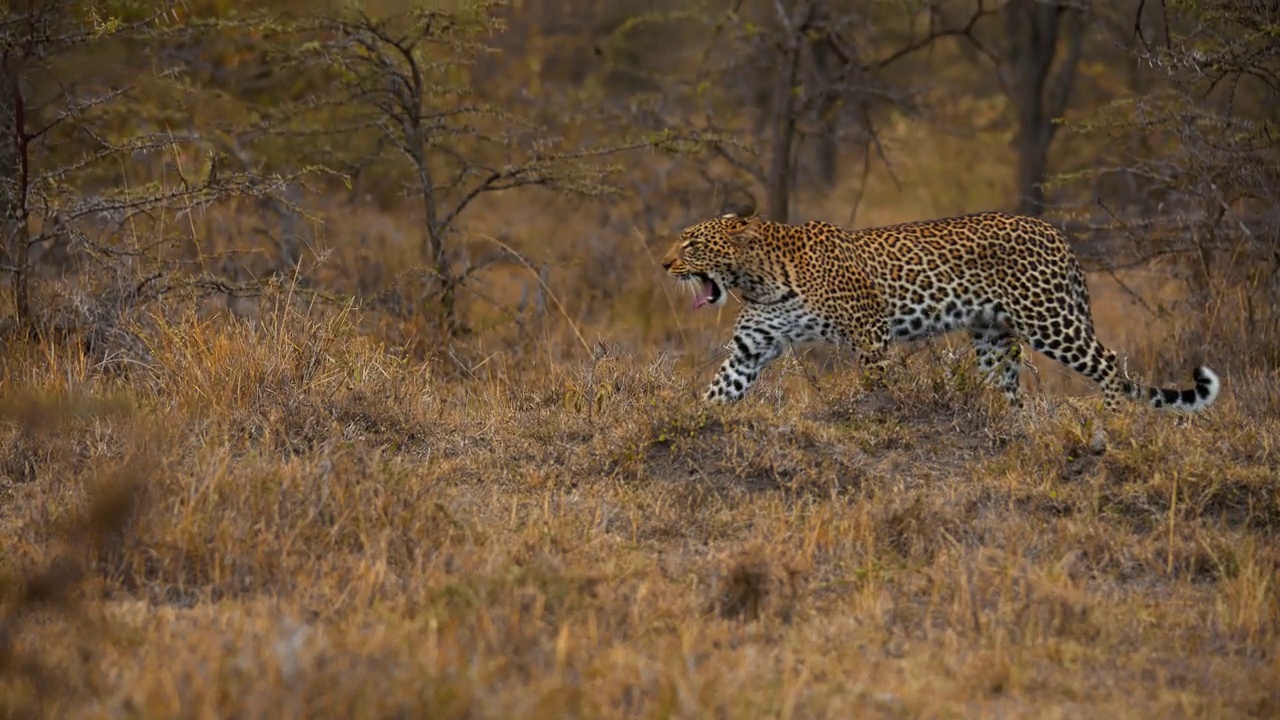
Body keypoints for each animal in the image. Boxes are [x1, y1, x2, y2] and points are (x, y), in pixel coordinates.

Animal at [660, 208, 1218, 409]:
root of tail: (1056, 232)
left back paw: (1110, 423)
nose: (664, 264)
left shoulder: (871, 332)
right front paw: (697, 420)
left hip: (1049, 319)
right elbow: (720, 388)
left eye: (692, 244)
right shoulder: (751, 347)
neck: (760, 278)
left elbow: (877, 384)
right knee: (1008, 392)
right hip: (994, 339)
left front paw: (876, 417)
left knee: (1109, 366)